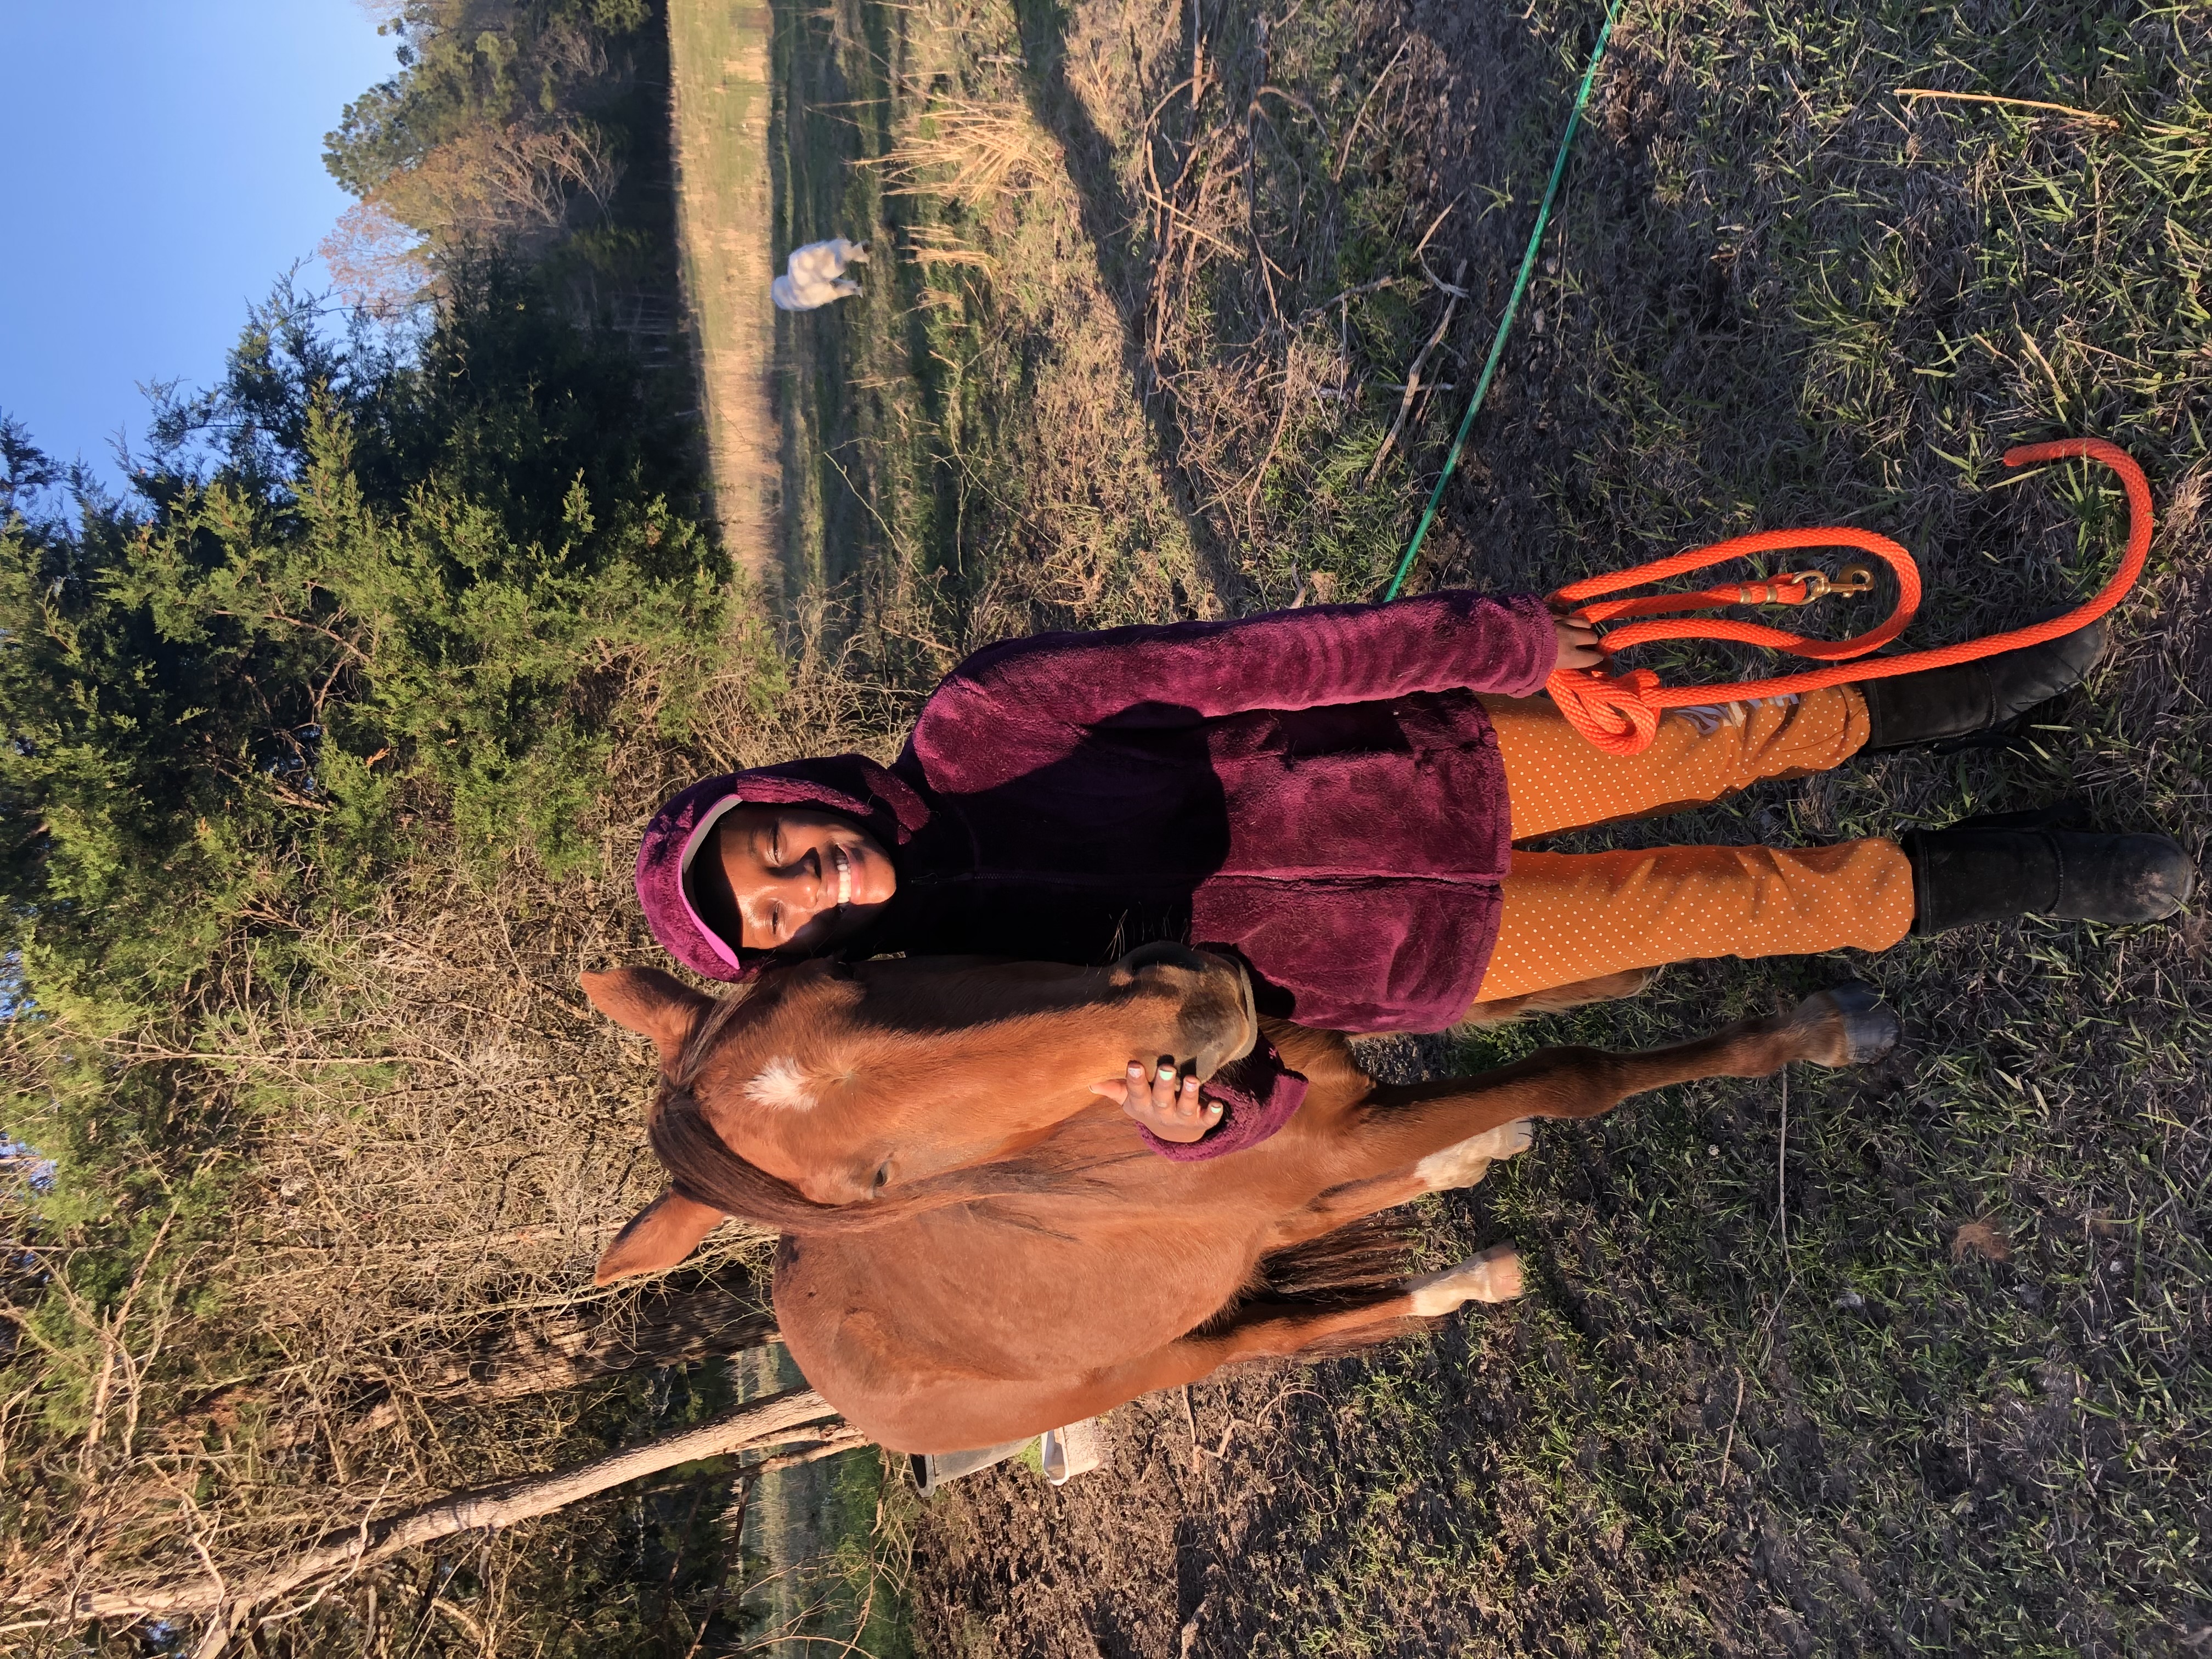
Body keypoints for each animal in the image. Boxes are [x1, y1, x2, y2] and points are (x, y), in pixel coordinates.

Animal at [582, 947, 1899, 1454]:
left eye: (850, 969)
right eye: (874, 1179)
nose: (1191, 1002)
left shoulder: (1325, 1071)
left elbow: (1492, 1001)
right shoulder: (1348, 1123)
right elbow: (1579, 1073)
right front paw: (1820, 1030)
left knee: (1299, 1230)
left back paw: (1466, 1171)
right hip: (1159, 1358)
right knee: (1282, 1327)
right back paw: (1465, 1272)